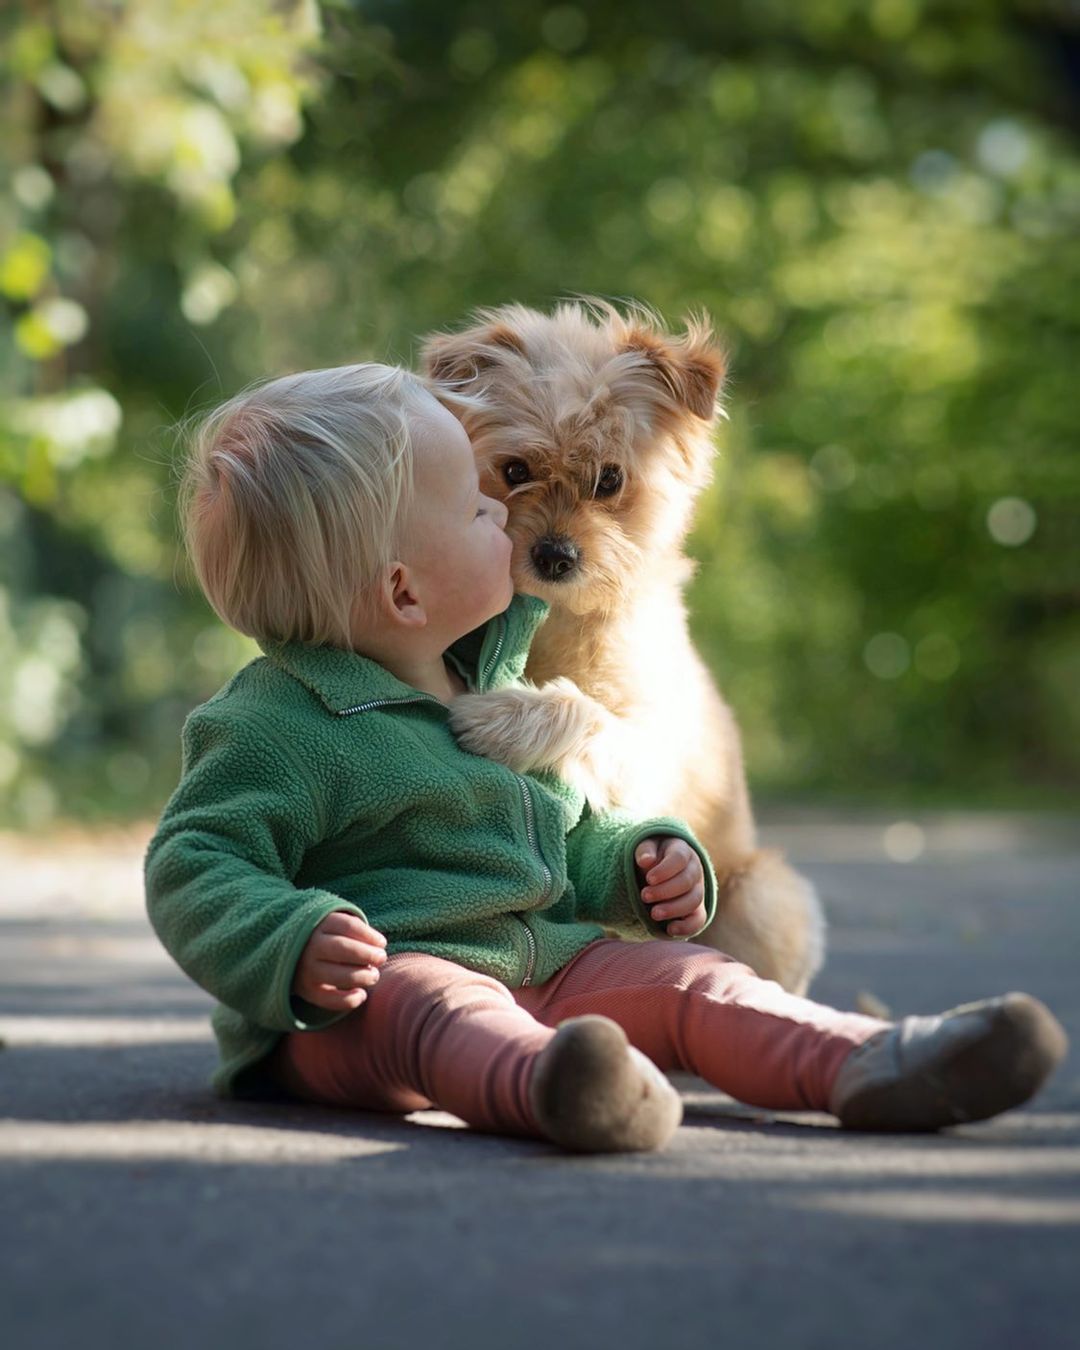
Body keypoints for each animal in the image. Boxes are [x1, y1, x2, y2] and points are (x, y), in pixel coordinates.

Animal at [421, 298, 826, 993]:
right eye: (515, 471)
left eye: (610, 480)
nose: (555, 555)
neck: (557, 619)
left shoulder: (651, 746)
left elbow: (584, 711)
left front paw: (497, 718)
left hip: (763, 898)